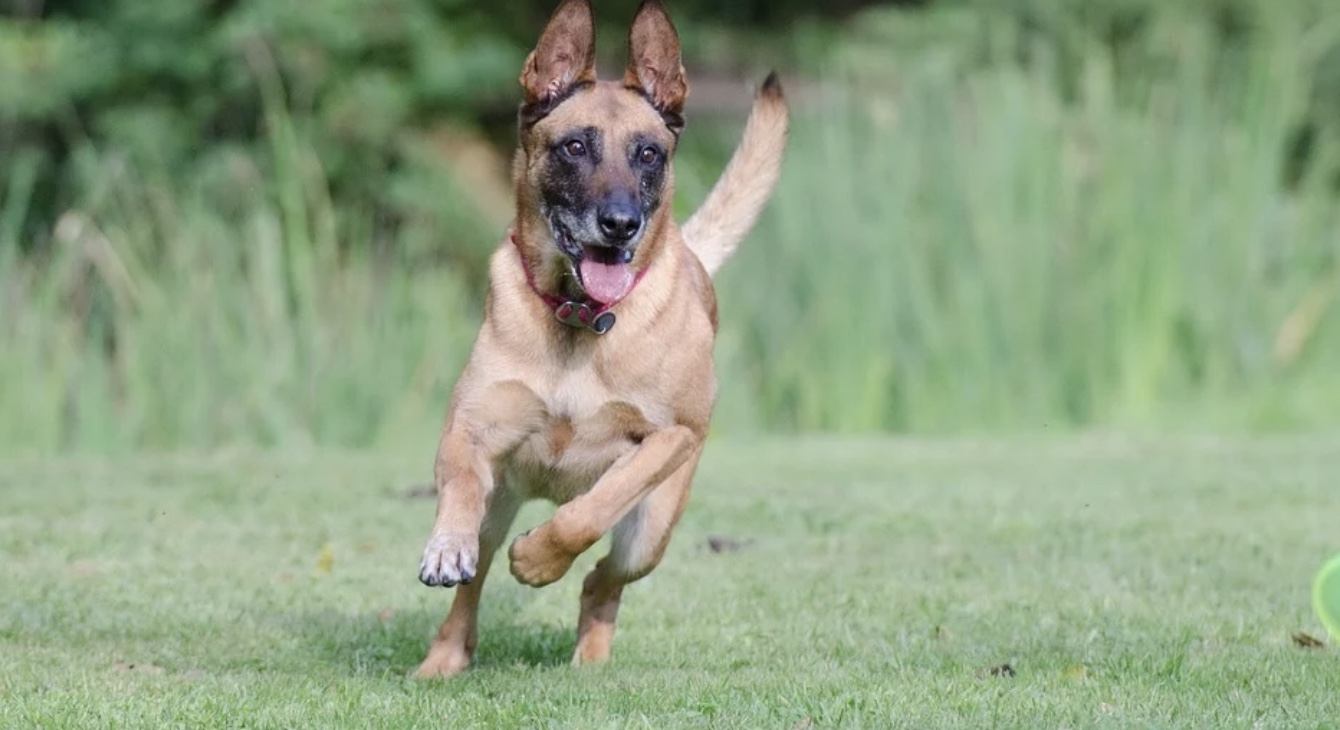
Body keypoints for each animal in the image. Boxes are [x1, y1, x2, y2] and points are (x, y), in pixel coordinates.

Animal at [415, 0, 782, 677]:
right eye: (575, 146)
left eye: (648, 154)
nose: (619, 225)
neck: (580, 319)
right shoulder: (471, 428)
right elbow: (458, 485)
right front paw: (446, 546)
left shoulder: (669, 439)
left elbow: (591, 508)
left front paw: (538, 560)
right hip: (500, 506)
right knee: (474, 585)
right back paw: (443, 658)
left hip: (651, 534)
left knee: (601, 580)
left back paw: (590, 656)